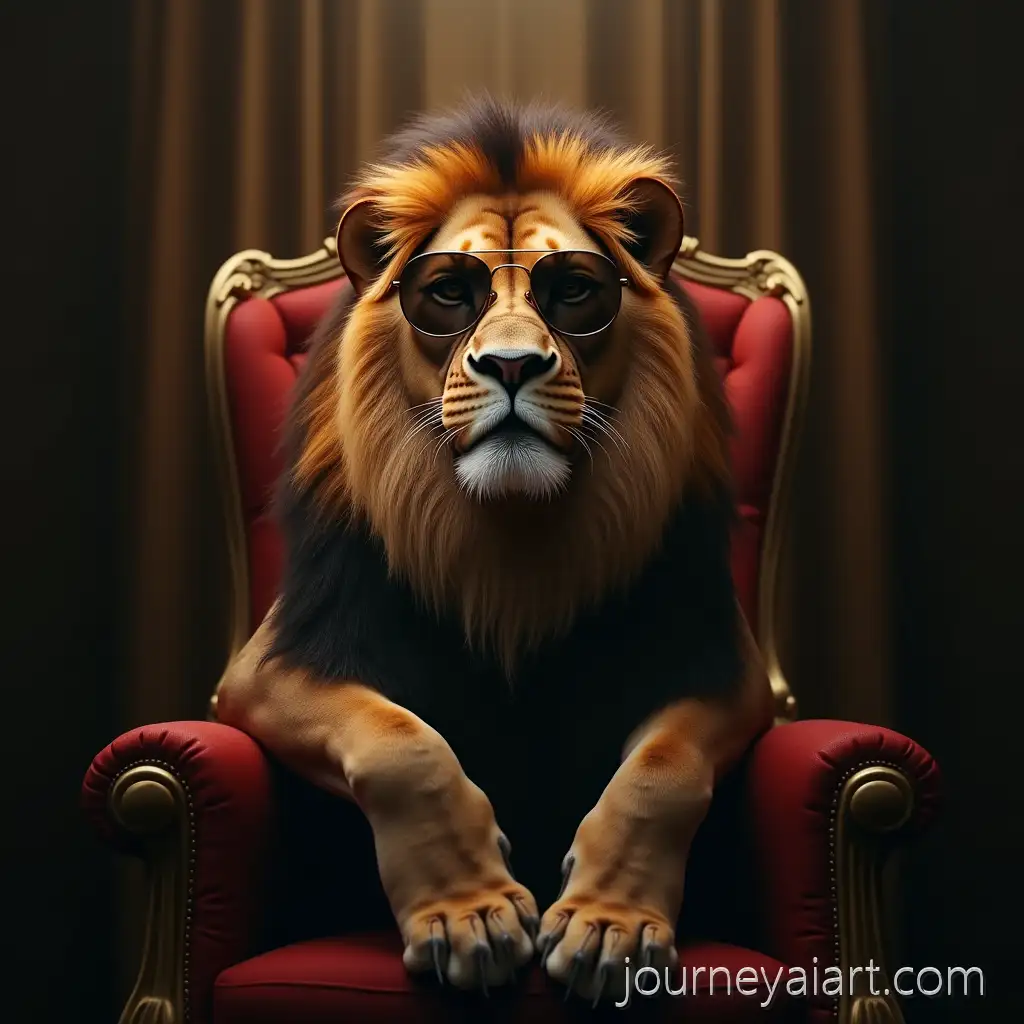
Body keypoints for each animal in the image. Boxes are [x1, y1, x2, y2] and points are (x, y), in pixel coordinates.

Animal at [215, 96, 774, 1005]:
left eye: (574, 290)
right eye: (448, 292)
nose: (511, 364)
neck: (507, 541)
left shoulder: (725, 668)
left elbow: (663, 766)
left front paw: (608, 925)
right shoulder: (267, 668)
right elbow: (402, 739)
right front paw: (467, 914)